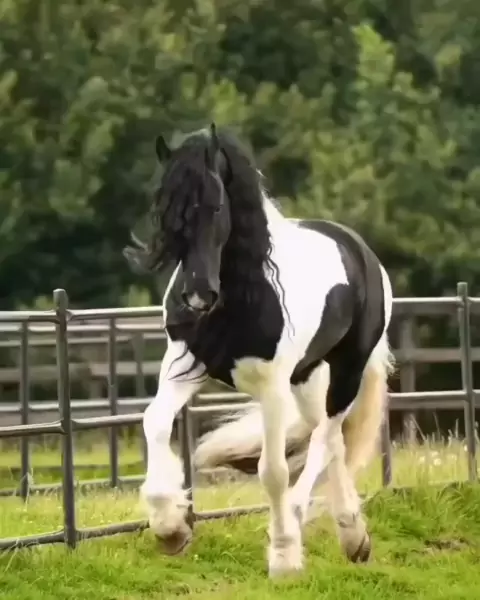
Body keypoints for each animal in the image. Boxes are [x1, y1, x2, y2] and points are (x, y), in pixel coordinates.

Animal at [124, 124, 394, 578]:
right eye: (164, 209)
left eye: (216, 206)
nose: (196, 296)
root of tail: (360, 250)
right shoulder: (184, 364)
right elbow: (155, 423)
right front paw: (170, 527)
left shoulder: (271, 386)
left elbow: (274, 471)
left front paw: (283, 555)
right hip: (306, 379)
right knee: (331, 439)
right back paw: (354, 537)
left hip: (345, 371)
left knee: (324, 437)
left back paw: (305, 521)